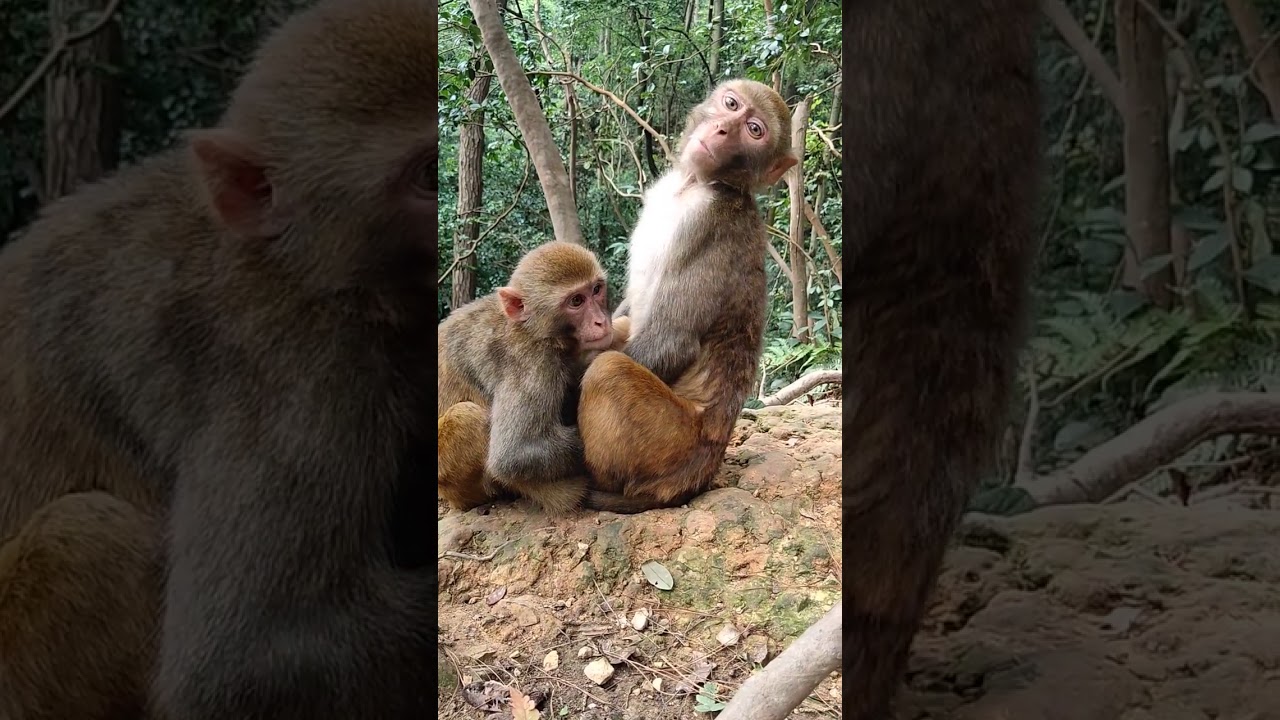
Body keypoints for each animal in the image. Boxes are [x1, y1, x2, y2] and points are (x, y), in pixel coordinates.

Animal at [436, 241, 618, 513]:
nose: (600, 321)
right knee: (465, 415)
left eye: (596, 290)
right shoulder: (532, 361)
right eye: (576, 301)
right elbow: (514, 455)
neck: (533, 329)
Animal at [574, 78, 797, 514]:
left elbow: (673, 340)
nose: (723, 128)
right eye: (731, 104)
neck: (693, 185)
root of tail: (704, 469)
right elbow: (625, 315)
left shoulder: (711, 226)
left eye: (754, 131)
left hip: (669, 442)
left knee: (609, 371)